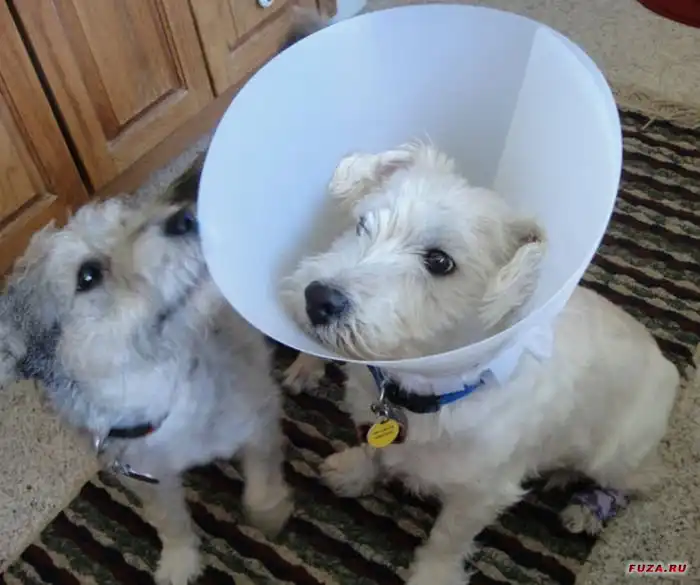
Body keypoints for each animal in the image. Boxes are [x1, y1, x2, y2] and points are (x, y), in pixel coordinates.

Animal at [0, 155, 293, 585]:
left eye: (128, 219)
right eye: (88, 275)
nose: (186, 216)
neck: (165, 391)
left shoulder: (260, 418)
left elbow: (259, 485)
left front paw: (270, 514)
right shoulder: (144, 478)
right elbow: (169, 521)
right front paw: (179, 560)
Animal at [281, 142, 680, 585]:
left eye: (440, 261)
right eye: (362, 224)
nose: (318, 299)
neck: (425, 389)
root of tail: (667, 364)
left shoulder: (483, 492)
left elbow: (448, 537)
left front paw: (433, 576)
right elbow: (373, 449)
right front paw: (354, 473)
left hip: (616, 457)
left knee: (646, 478)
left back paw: (586, 509)